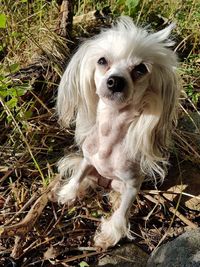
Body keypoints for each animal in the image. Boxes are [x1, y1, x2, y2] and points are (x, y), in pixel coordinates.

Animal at [55, 16, 179, 251]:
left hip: (121, 185)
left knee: (118, 197)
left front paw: (110, 234)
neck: (109, 134)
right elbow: (77, 177)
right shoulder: (87, 160)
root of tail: (105, 182)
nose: (115, 81)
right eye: (102, 61)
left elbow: (122, 213)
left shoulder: (131, 185)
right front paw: (68, 193)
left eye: (140, 68)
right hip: (94, 172)